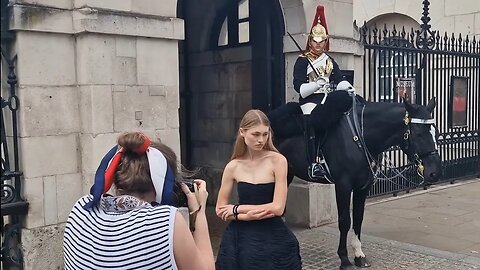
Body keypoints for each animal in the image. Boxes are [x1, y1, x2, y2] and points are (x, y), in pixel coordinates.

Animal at [268, 94, 440, 268]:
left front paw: (359, 255)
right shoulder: (343, 186)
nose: (435, 173)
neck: (361, 136)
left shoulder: (363, 187)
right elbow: (345, 221)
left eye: (437, 132)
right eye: (418, 133)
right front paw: (344, 259)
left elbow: (358, 218)